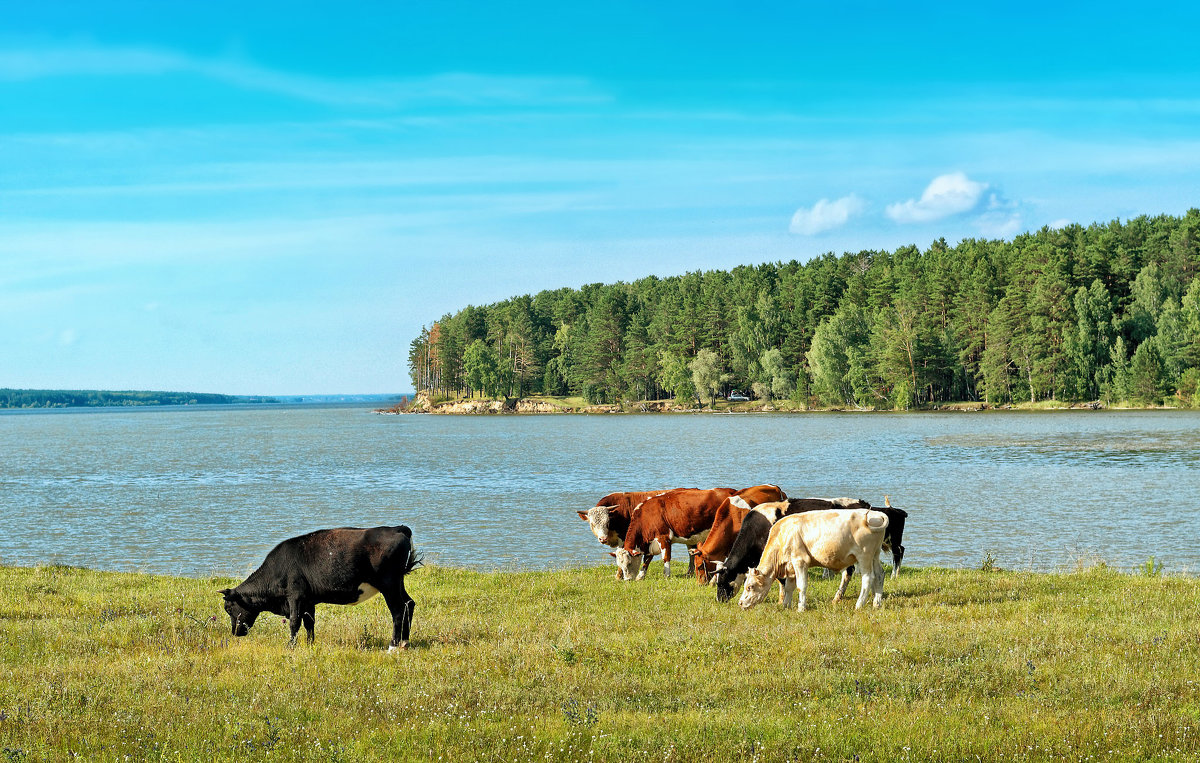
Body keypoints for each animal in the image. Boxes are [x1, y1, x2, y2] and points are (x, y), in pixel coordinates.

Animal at [220, 527, 422, 652]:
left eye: (229, 608)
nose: (235, 632)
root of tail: (397, 528)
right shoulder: (308, 601)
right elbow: (309, 623)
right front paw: (310, 644)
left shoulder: (295, 596)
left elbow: (295, 622)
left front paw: (290, 646)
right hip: (398, 583)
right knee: (409, 604)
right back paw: (405, 642)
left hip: (389, 585)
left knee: (398, 611)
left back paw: (393, 646)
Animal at [710, 496, 873, 604]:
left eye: (721, 581)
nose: (719, 600)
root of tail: (863, 503)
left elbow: (781, 581)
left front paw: (782, 601)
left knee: (848, 572)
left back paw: (837, 597)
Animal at [734, 508, 888, 611]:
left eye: (750, 586)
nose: (740, 603)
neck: (783, 535)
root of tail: (874, 514)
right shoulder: (791, 566)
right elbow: (789, 588)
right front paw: (786, 606)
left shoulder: (800, 561)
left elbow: (801, 586)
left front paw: (801, 608)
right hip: (875, 554)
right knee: (879, 574)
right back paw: (877, 603)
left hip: (864, 555)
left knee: (868, 578)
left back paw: (859, 605)